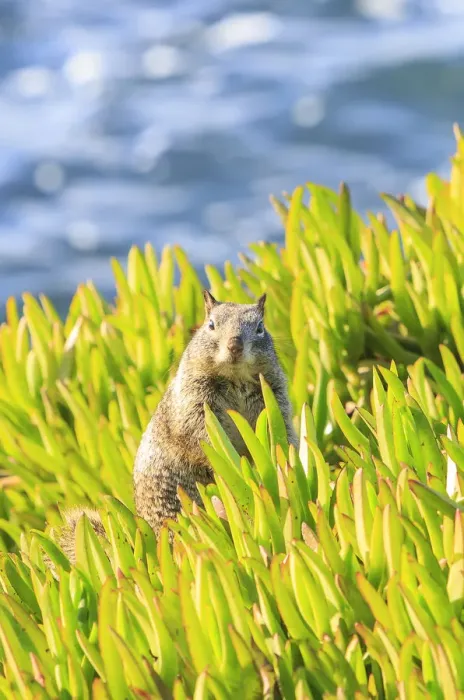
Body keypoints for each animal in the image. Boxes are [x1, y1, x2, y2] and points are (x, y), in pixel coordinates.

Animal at [56, 291, 297, 562]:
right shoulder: (194, 405)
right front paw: (231, 460)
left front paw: (286, 457)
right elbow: (201, 438)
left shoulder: (274, 398)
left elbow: (283, 432)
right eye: (210, 324)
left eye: (260, 327)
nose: (234, 346)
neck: (235, 378)